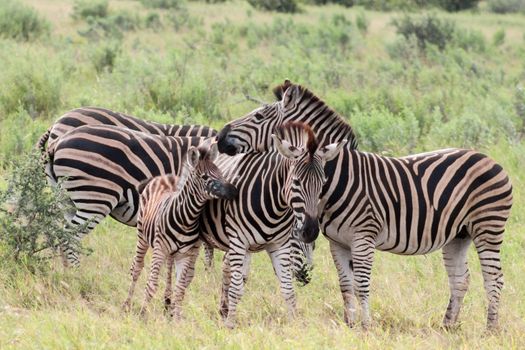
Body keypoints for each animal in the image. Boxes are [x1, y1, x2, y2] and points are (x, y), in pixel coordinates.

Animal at [122, 138, 236, 318]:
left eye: (221, 173)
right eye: (204, 177)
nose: (234, 191)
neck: (186, 220)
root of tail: (163, 176)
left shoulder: (185, 254)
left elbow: (180, 289)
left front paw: (175, 318)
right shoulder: (160, 249)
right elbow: (152, 284)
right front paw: (143, 314)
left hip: (171, 252)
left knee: (168, 268)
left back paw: (167, 304)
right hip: (142, 236)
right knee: (136, 268)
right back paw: (127, 304)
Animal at [199, 121, 346, 326]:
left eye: (323, 184)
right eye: (296, 182)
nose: (310, 231)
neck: (275, 205)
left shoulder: (279, 246)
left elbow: (288, 290)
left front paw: (294, 325)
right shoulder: (239, 242)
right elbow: (236, 289)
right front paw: (230, 325)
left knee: (227, 268)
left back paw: (223, 308)